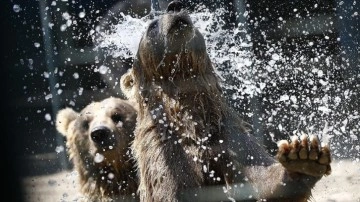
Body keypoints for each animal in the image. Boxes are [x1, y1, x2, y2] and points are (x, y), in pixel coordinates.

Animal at [120, 0, 332, 201]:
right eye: (152, 26)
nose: (174, 7)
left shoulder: (226, 133)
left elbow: (260, 175)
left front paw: (304, 156)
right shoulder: (164, 147)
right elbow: (170, 189)